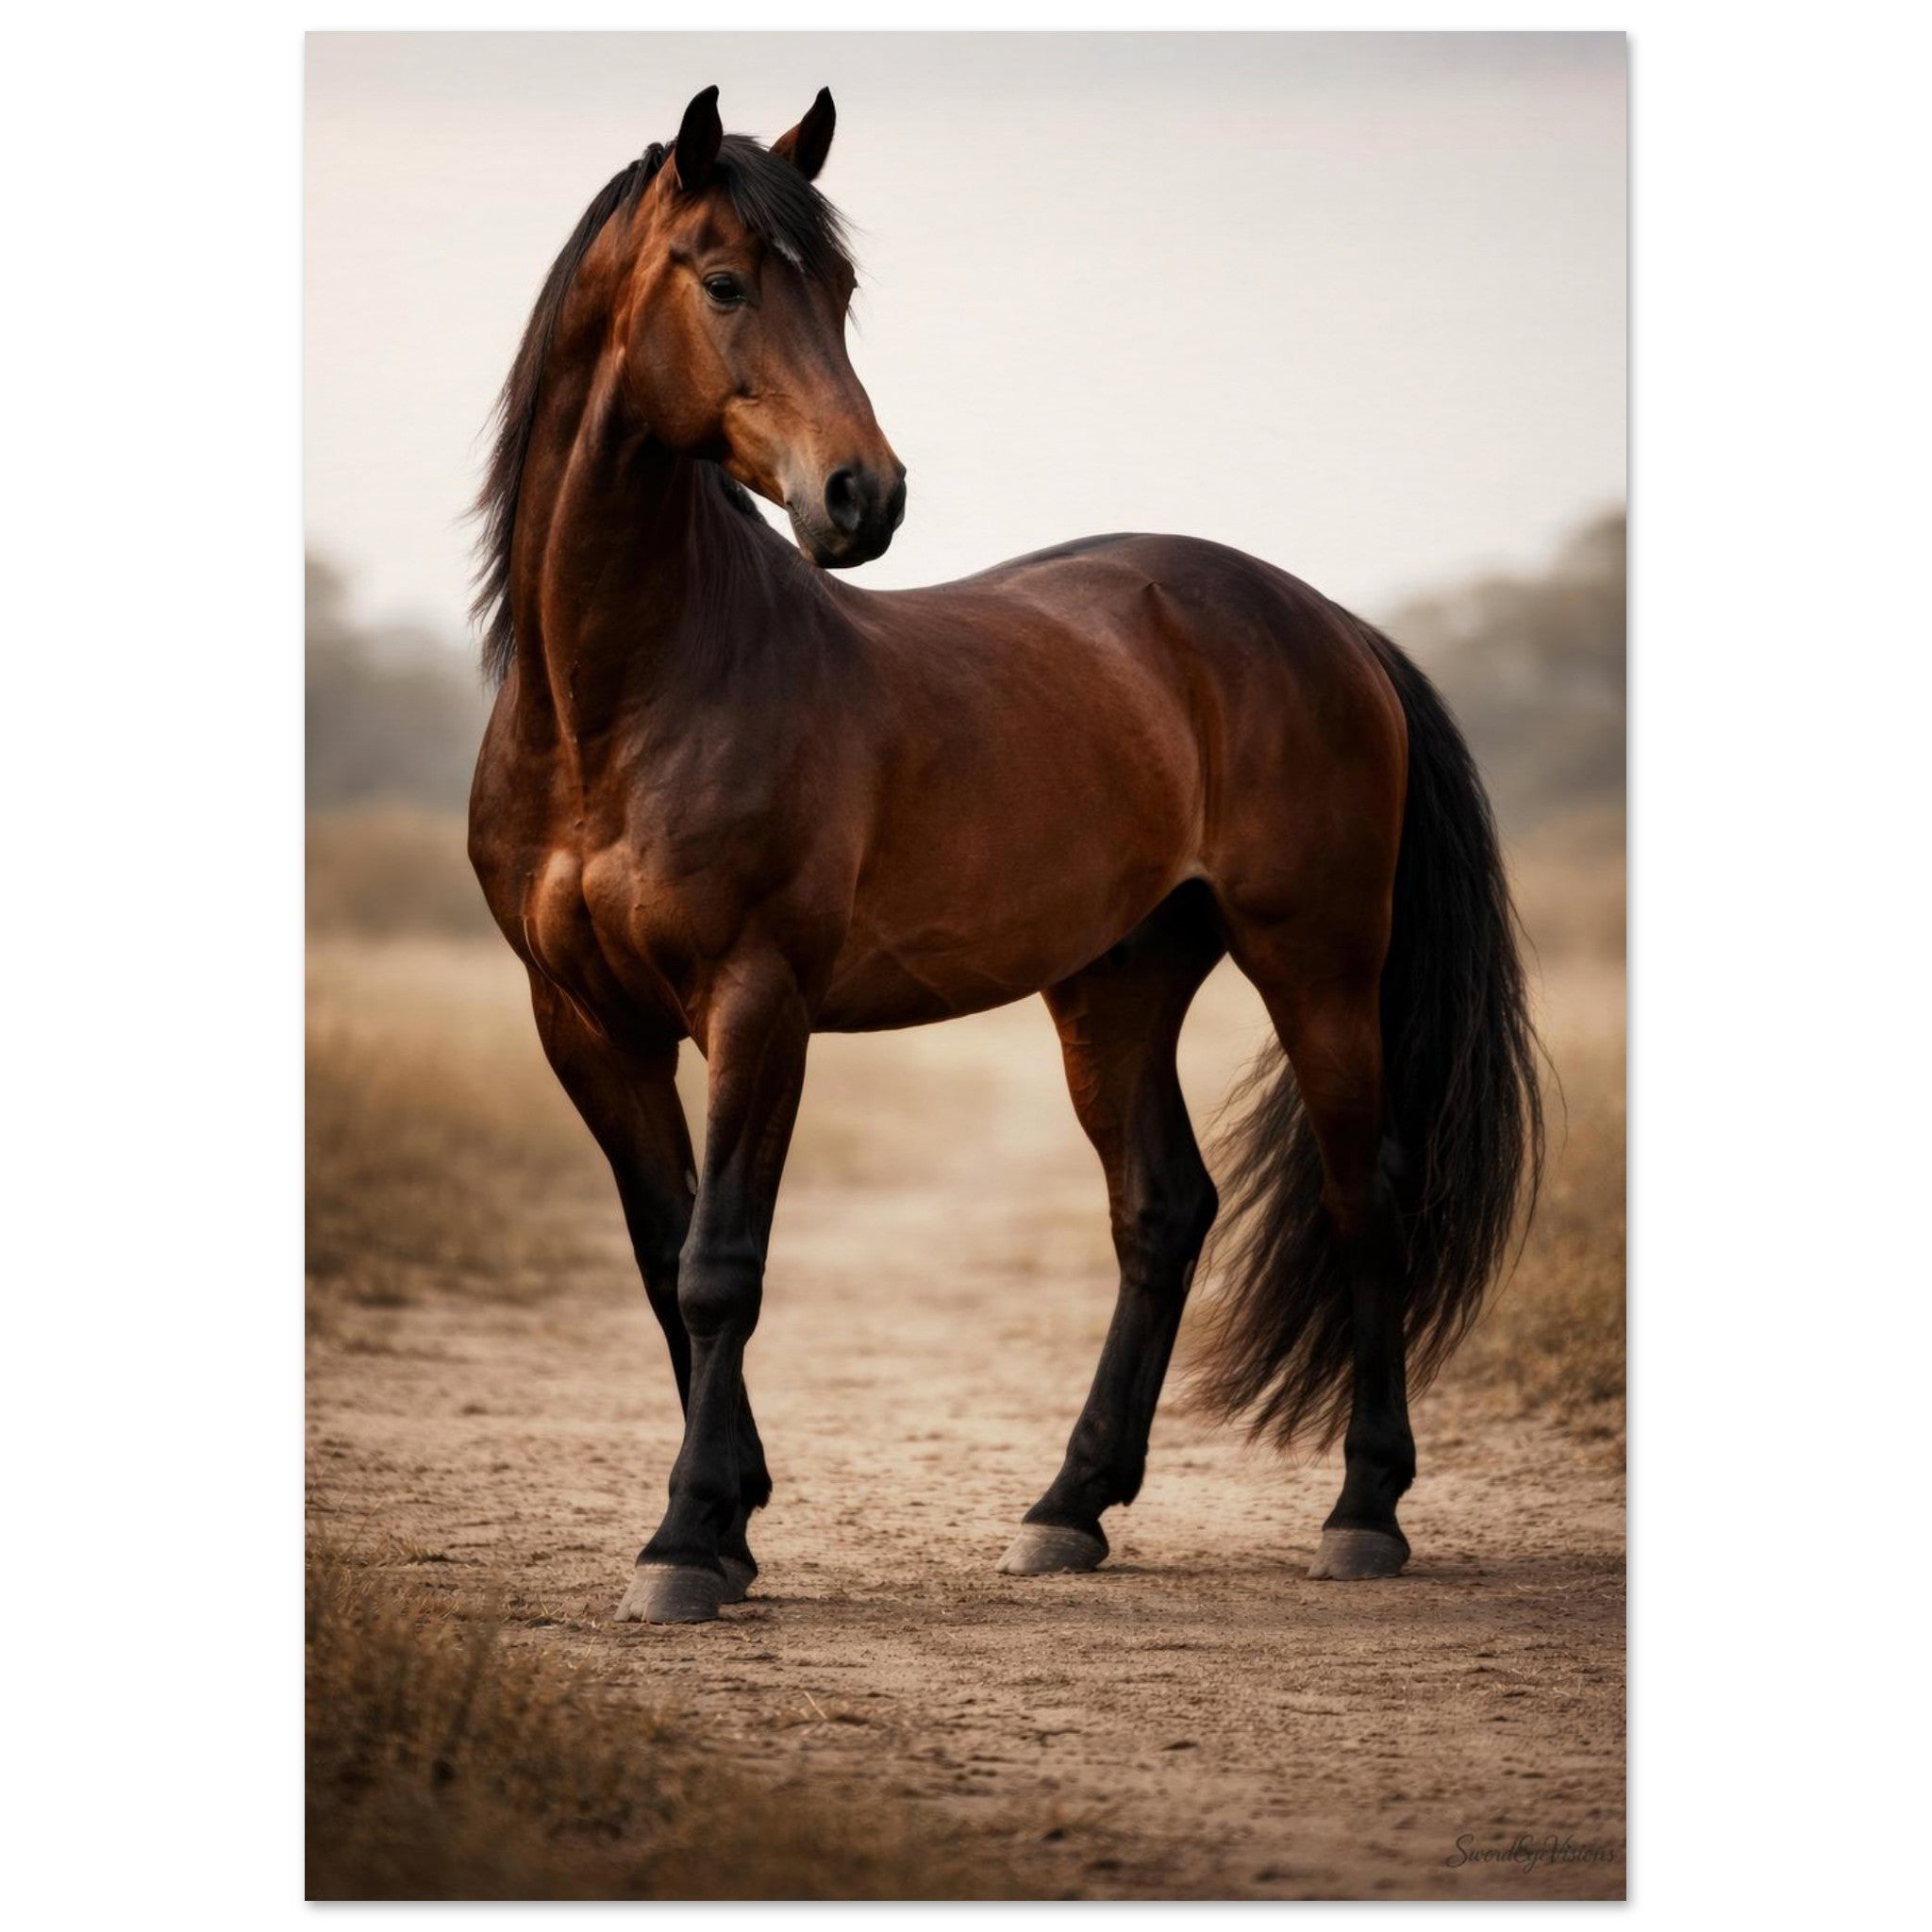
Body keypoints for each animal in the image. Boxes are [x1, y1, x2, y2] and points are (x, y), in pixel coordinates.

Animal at [467, 86, 1543, 1625]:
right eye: (723, 281)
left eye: (842, 289)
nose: (863, 497)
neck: (622, 700)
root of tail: (1326, 619)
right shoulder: (584, 1024)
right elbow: (663, 1258)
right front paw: (726, 1524)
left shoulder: (755, 1003)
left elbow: (723, 1264)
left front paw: (682, 1542)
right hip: (1116, 983)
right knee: (1163, 1211)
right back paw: (1067, 1507)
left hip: (1317, 965)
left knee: (1365, 1196)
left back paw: (1363, 1511)